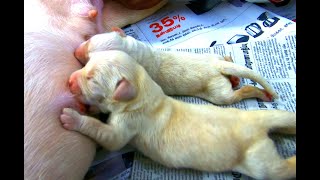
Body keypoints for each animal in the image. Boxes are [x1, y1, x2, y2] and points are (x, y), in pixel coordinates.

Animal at [60, 50, 296, 179]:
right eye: (86, 66)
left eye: (91, 78)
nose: (69, 80)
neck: (143, 92)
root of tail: (259, 124)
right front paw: (88, 108)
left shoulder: (127, 126)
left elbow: (108, 136)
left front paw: (73, 117)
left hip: (259, 161)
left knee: (280, 170)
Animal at [74, 28, 278, 105]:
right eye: (89, 39)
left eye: (89, 59)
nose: (75, 52)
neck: (137, 50)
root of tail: (216, 65)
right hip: (215, 55)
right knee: (227, 58)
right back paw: (234, 77)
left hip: (219, 93)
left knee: (238, 93)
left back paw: (259, 93)